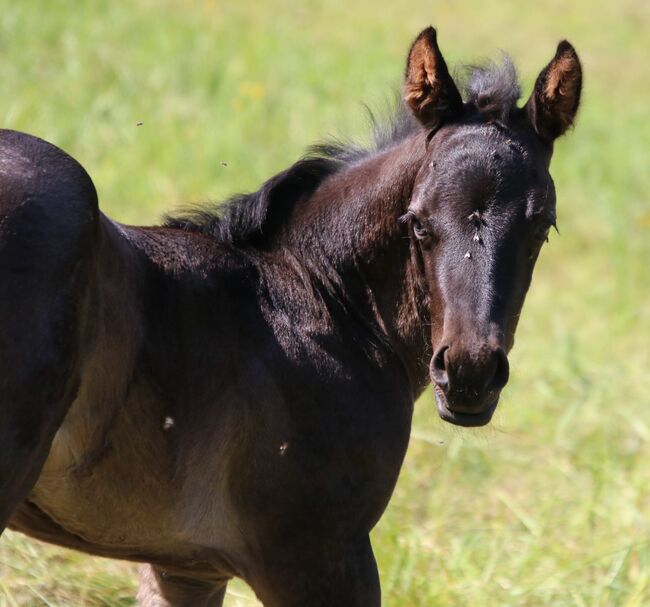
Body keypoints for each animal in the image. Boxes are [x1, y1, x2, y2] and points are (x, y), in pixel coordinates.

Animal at [0, 27, 576, 607]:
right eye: (417, 222)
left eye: (542, 227)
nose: (468, 374)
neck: (318, 295)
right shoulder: (318, 554)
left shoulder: (183, 566)